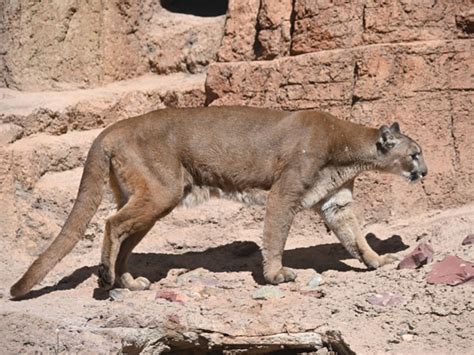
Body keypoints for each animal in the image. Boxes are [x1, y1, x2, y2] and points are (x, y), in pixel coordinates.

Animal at [11, 107, 428, 298]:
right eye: (414, 154)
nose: (424, 172)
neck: (349, 148)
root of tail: (110, 129)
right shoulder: (284, 192)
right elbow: (275, 235)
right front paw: (276, 275)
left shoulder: (335, 203)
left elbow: (356, 238)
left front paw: (377, 261)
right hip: (160, 192)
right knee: (112, 224)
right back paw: (106, 278)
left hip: (153, 200)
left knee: (124, 235)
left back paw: (129, 282)